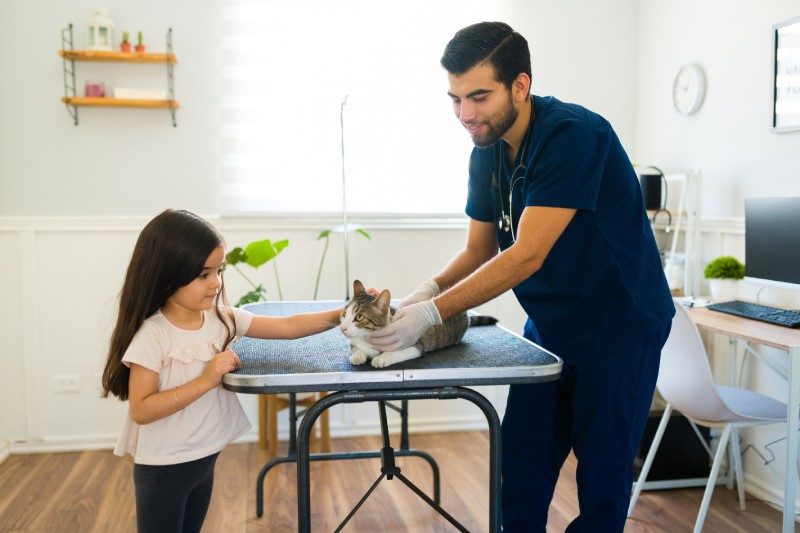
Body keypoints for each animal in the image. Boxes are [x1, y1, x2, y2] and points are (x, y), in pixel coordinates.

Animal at [338, 280, 494, 368]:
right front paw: (358, 354)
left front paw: (383, 357)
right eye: (344, 314)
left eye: (359, 317)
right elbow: (357, 348)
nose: (342, 327)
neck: (368, 338)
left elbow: (399, 351)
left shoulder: (416, 345)